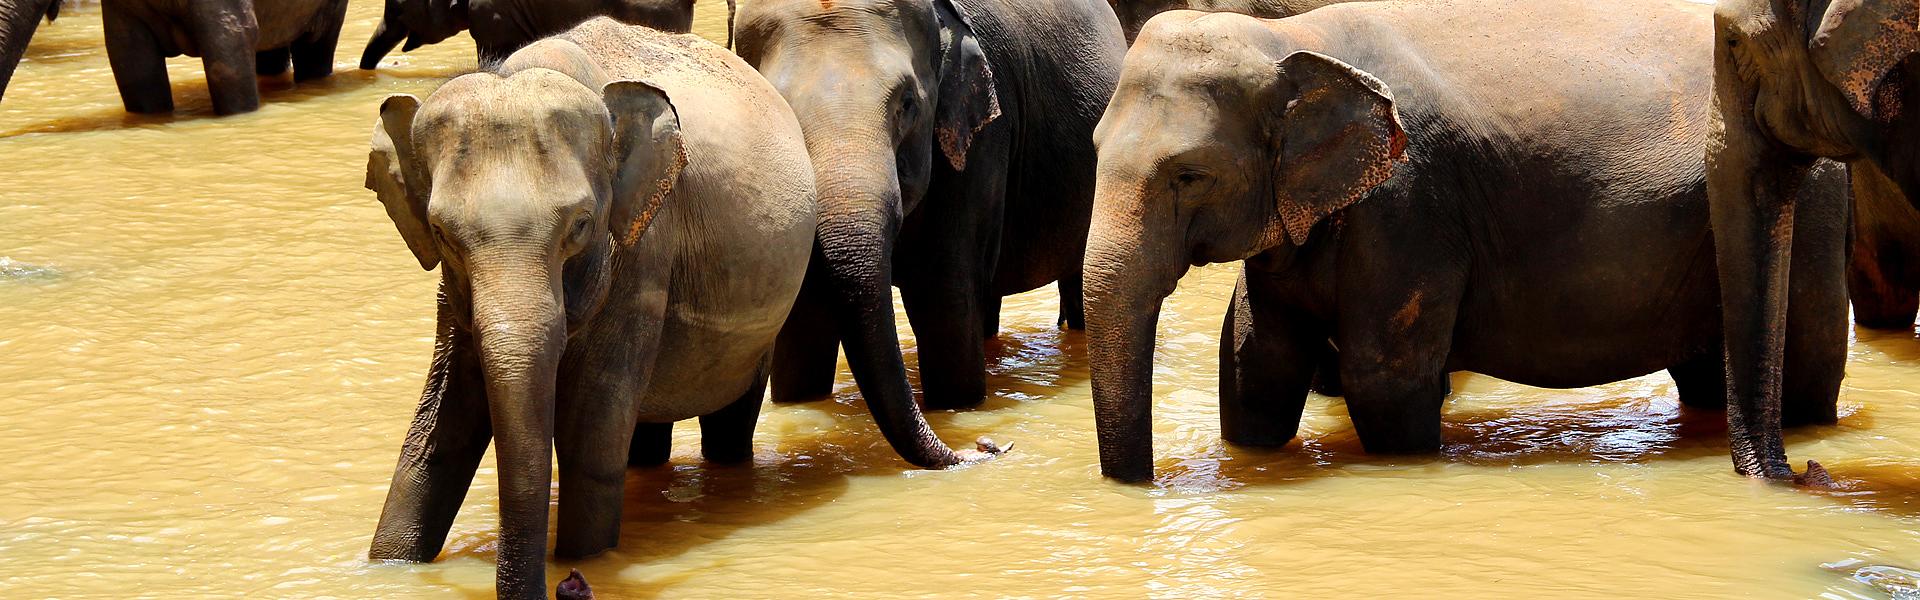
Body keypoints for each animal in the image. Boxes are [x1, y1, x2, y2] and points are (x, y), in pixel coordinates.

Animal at [362, 19, 998, 598]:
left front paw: (584, 559)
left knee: (724, 418)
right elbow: (439, 428)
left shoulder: (646, 251)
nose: (990, 447)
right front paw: (387, 566)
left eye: (581, 227)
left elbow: (592, 429)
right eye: (442, 234)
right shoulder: (456, 293)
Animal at [1083, 0, 1849, 483]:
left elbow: (1385, 380)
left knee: (1807, 371)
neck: (1287, 36)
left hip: (1810, 208)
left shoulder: (1409, 206)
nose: (1149, 484)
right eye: (1091, 149)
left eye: (1189, 175)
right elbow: (1253, 363)